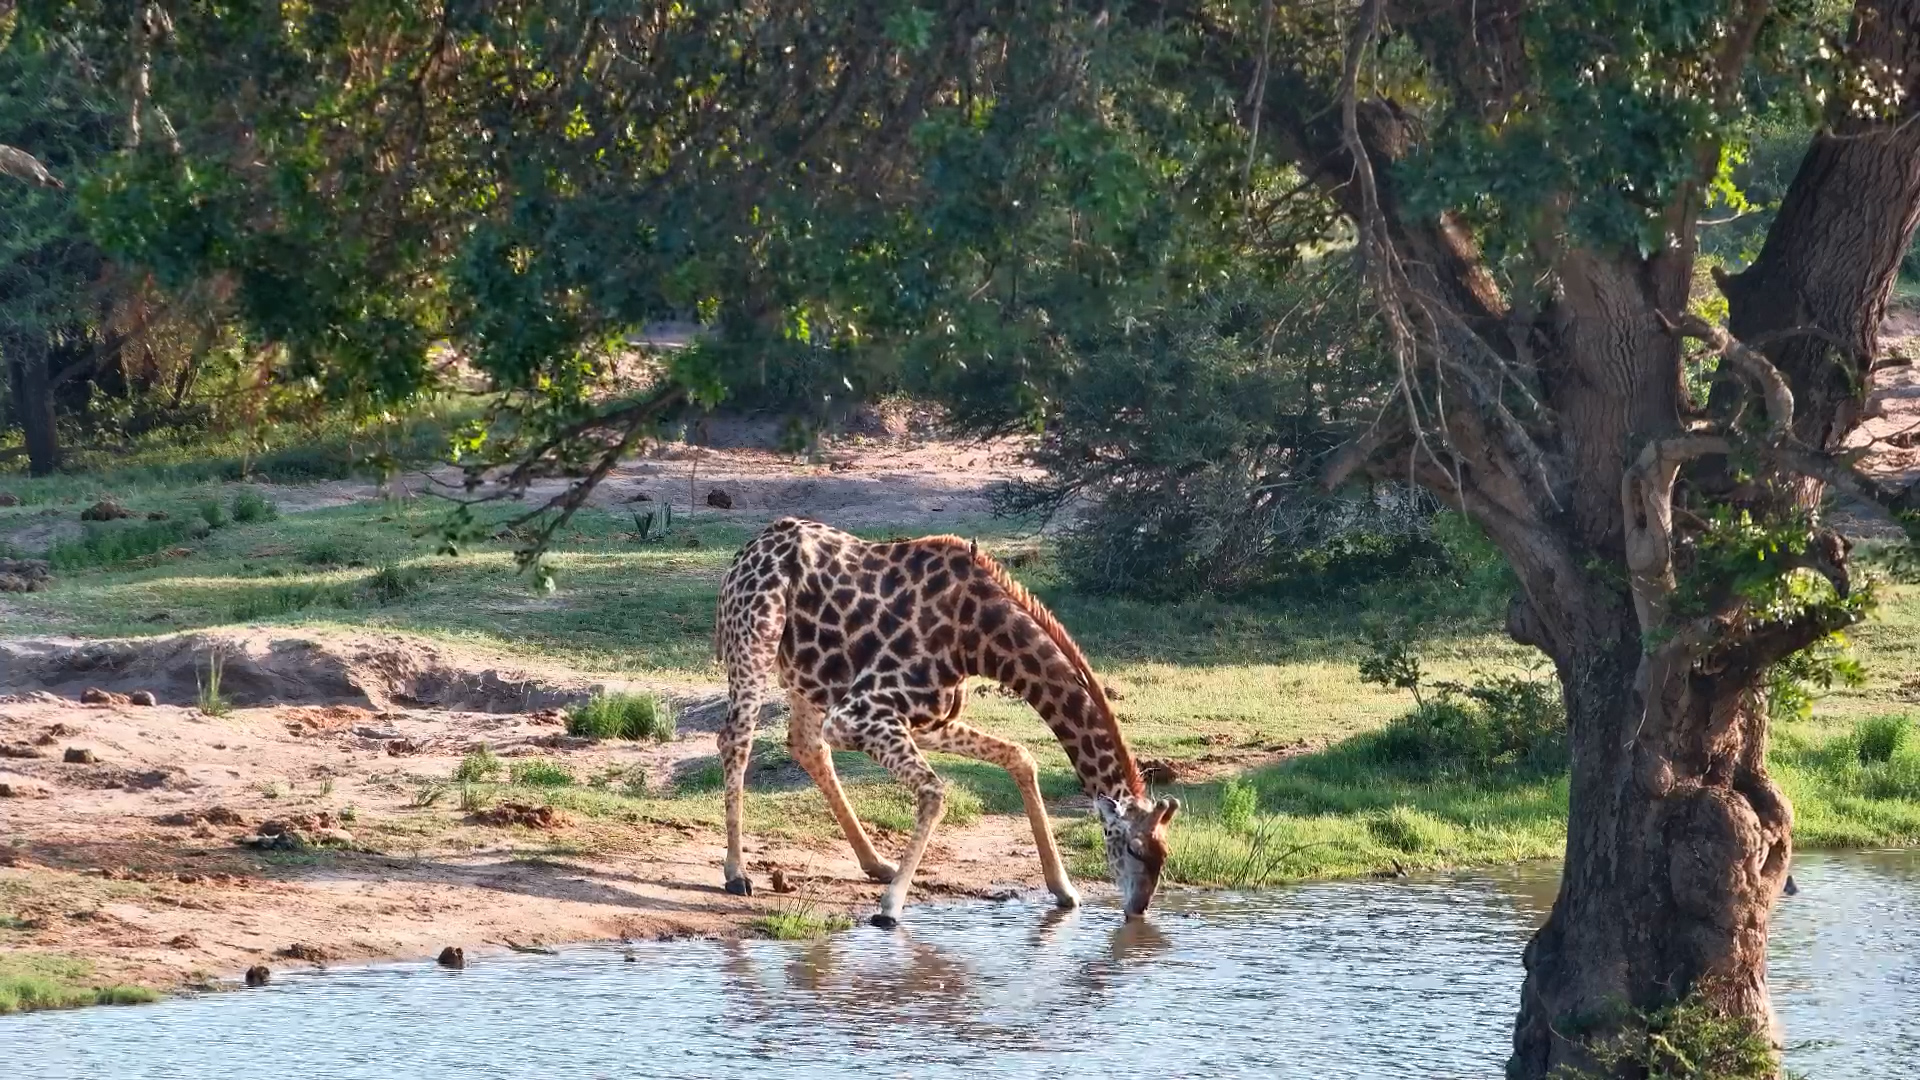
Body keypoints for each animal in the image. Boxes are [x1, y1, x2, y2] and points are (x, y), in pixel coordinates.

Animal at [712, 516, 1179, 927]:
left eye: (1165, 855)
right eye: (1134, 850)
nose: (1138, 909)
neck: (979, 639)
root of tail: (752, 547)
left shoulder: (927, 720)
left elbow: (1020, 757)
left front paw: (1063, 890)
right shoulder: (859, 714)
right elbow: (936, 791)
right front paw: (890, 909)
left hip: (806, 675)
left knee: (805, 745)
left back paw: (876, 863)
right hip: (755, 641)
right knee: (735, 738)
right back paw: (737, 873)